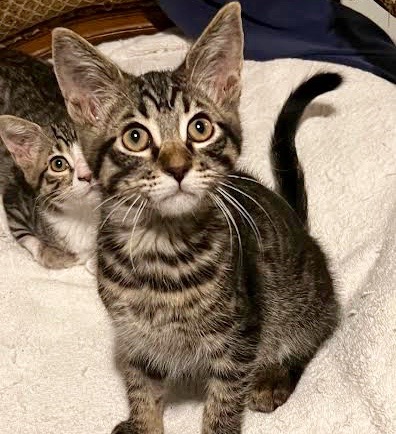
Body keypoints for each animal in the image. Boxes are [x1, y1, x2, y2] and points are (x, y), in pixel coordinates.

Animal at [52, 1, 340, 432]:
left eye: (200, 128)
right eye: (135, 137)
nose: (177, 167)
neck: (162, 250)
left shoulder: (240, 338)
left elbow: (223, 406)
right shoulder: (135, 339)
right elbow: (140, 387)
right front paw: (142, 423)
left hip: (299, 303)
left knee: (314, 332)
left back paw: (274, 378)